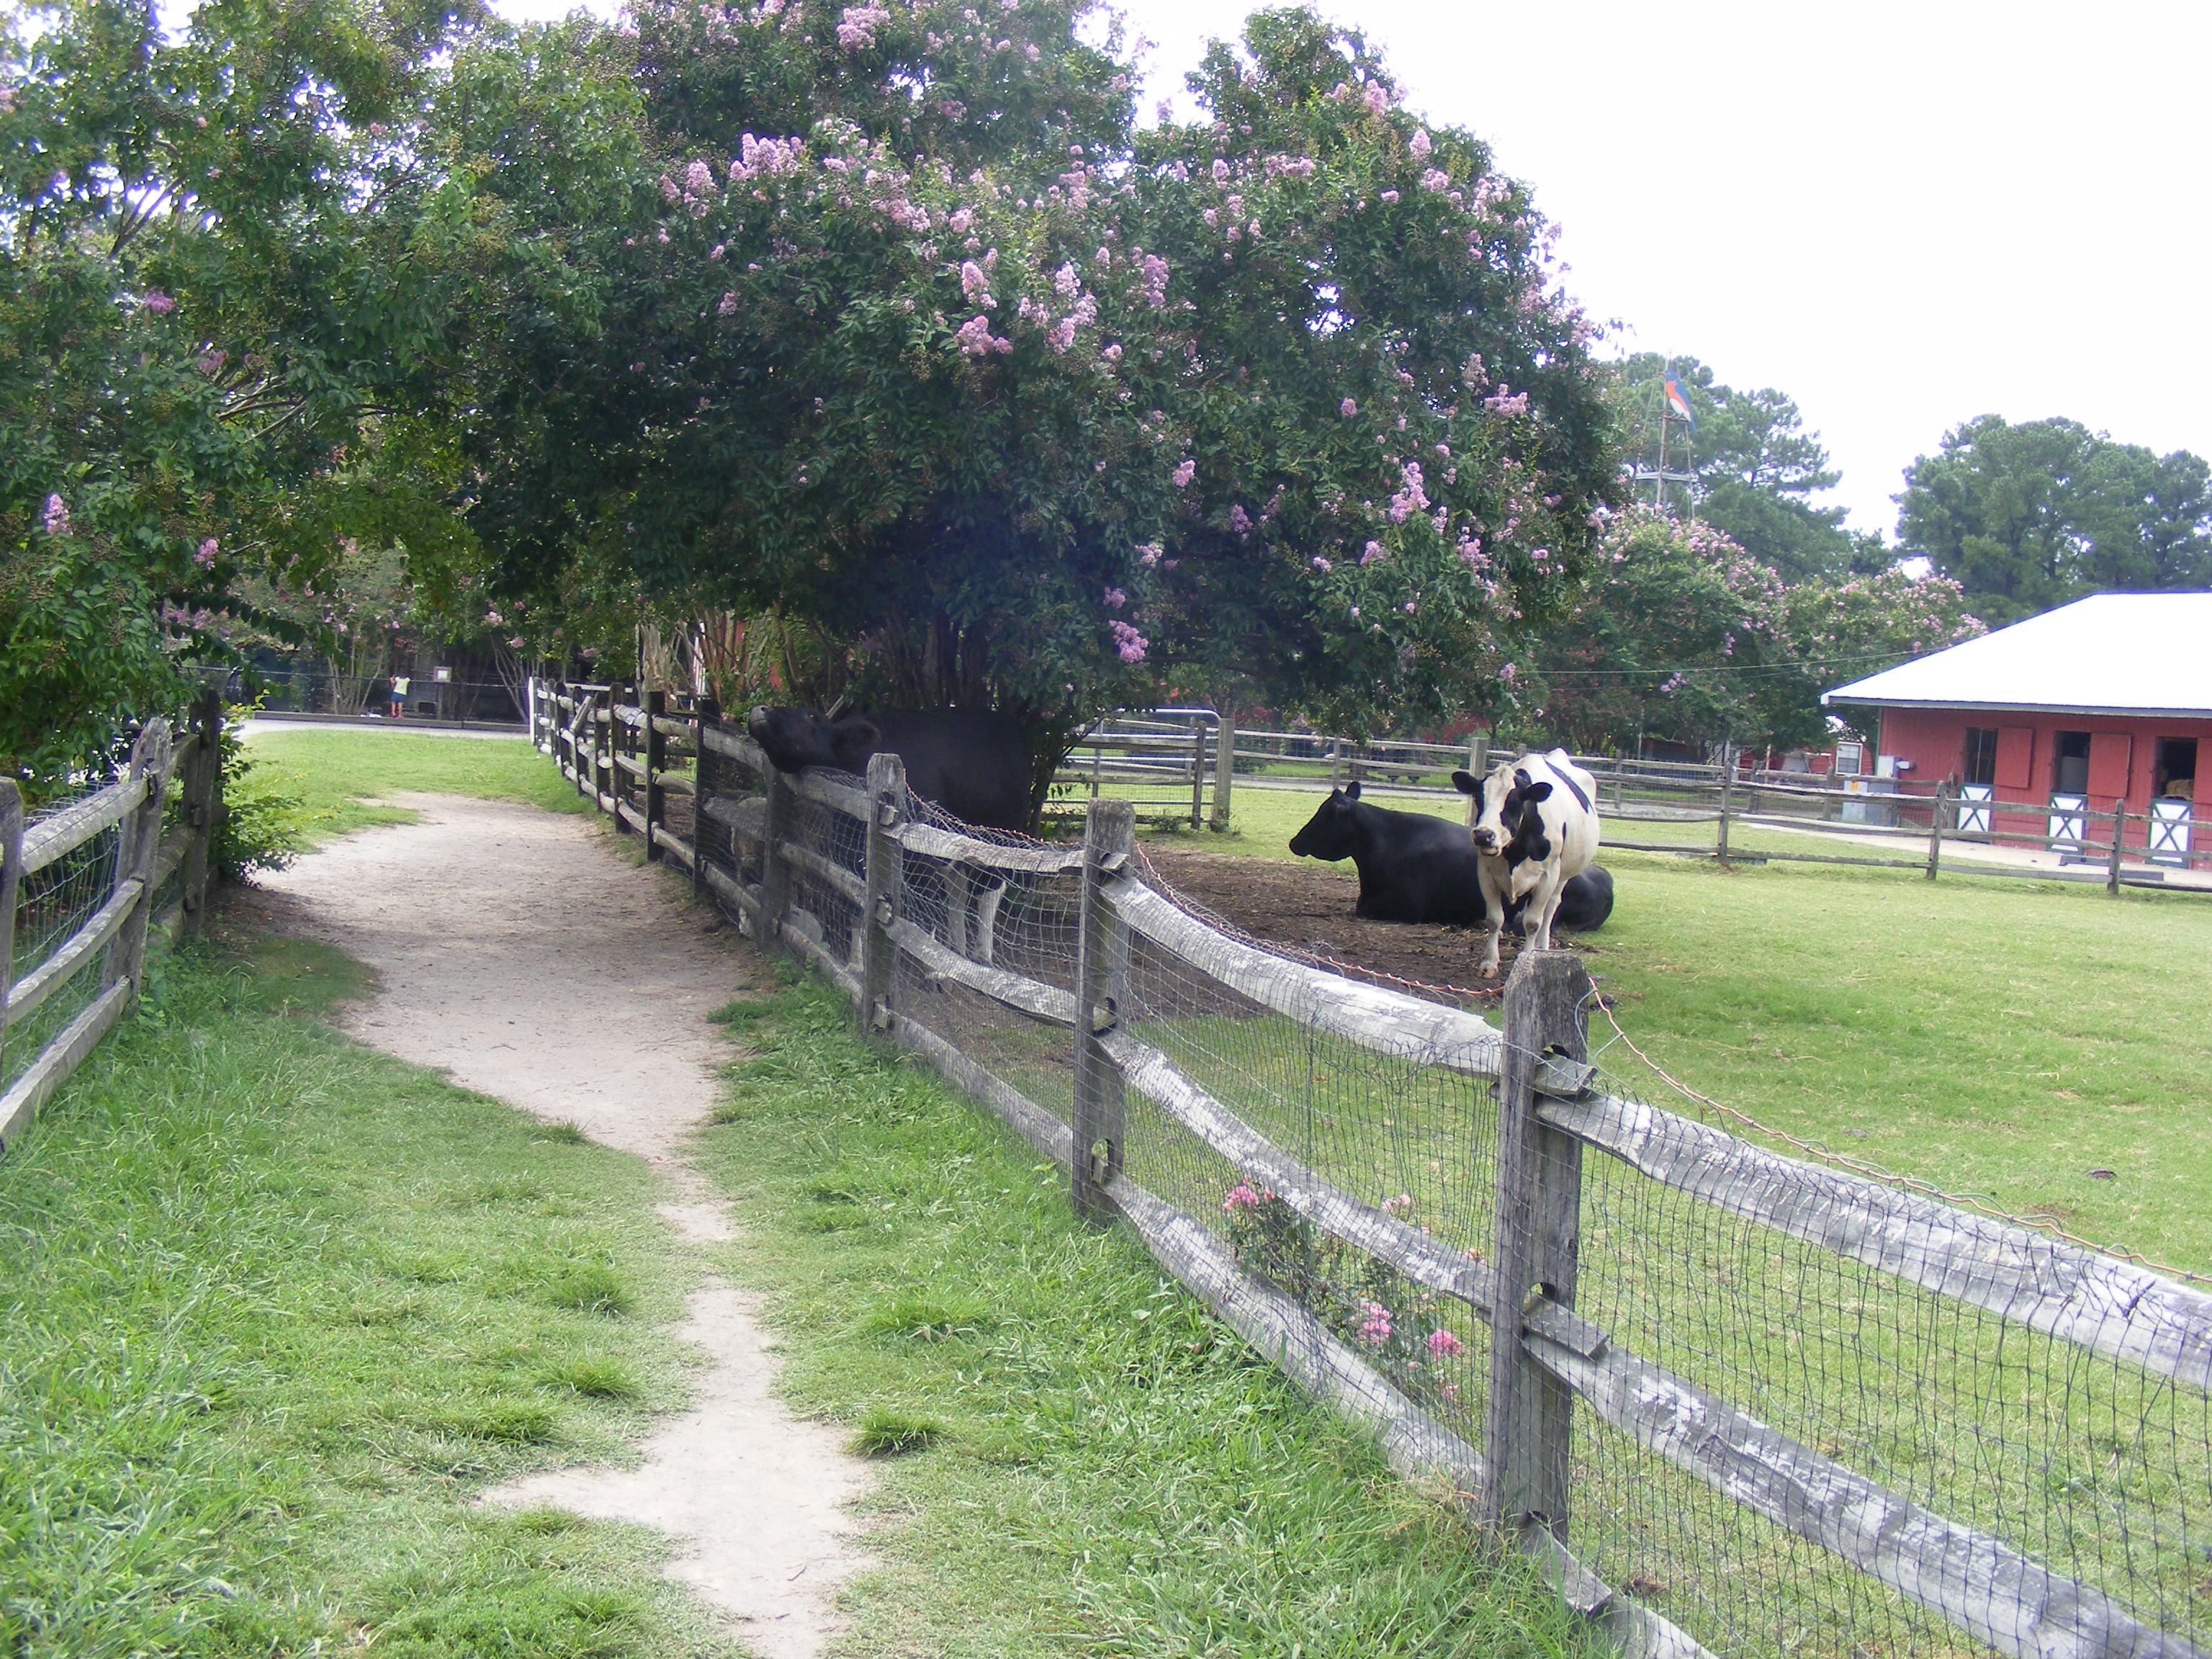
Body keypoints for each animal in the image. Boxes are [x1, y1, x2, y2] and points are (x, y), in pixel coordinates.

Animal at [1442, 752, 1601, 973]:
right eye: (1478, 798)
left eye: (1514, 802)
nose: (1483, 835)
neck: (1516, 851)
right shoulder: (1485, 872)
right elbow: (1494, 920)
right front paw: (1489, 963)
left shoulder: (1548, 875)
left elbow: (1533, 922)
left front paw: (1528, 956)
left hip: (1562, 876)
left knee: (1551, 907)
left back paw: (1542, 946)